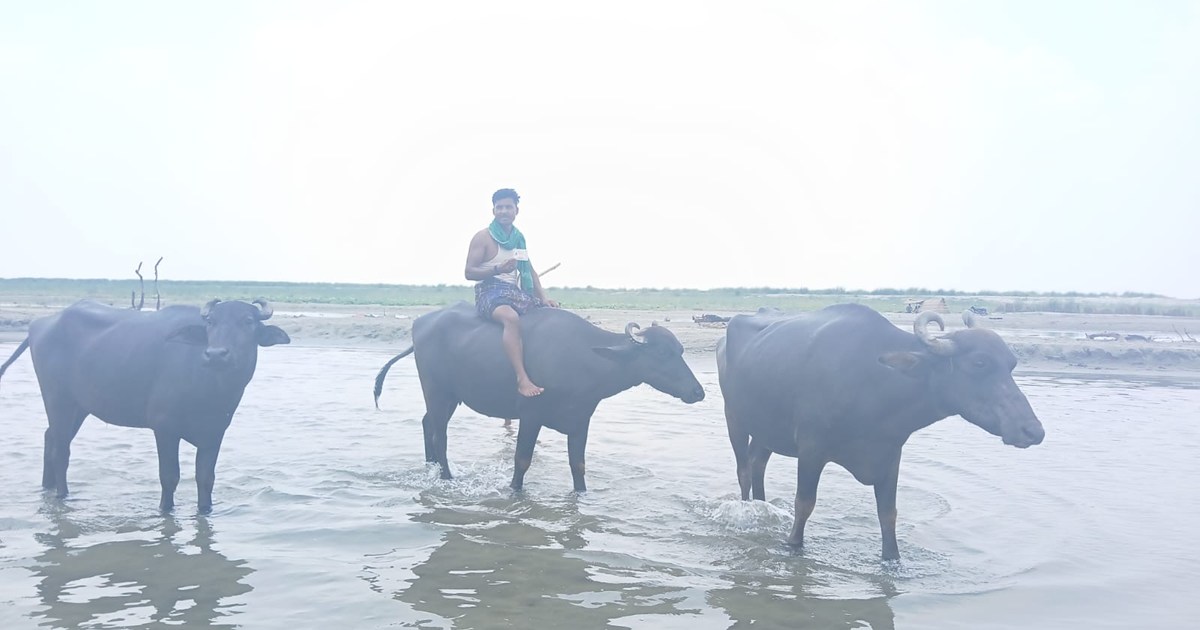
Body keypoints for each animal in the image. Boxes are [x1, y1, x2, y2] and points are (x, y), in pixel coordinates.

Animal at [0, 298, 290, 513]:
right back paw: (62, 496)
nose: (216, 354)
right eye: (211, 322)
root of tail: (41, 324)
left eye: (248, 321)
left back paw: (47, 489)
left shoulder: (215, 433)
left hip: (78, 407)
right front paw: (165, 511)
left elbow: (205, 478)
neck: (210, 389)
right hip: (58, 400)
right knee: (61, 450)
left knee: (50, 439)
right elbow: (169, 477)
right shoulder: (164, 428)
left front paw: (205, 510)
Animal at [374, 302, 705, 492]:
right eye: (661, 353)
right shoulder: (530, 416)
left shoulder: (581, 421)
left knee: (427, 423)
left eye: (680, 351)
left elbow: (578, 465)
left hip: (447, 397)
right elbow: (521, 461)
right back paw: (446, 477)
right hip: (437, 391)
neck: (584, 358)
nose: (697, 391)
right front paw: (515, 492)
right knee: (439, 434)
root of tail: (419, 324)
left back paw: (430, 469)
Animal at [717, 304, 1045, 560]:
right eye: (979, 362)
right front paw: (793, 545)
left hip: (767, 430)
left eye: (1011, 363)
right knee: (744, 470)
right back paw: (747, 508)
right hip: (734, 417)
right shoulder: (812, 449)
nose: (1033, 430)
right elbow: (804, 504)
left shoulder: (890, 455)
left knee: (757, 464)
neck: (876, 382)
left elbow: (888, 515)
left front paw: (892, 559)